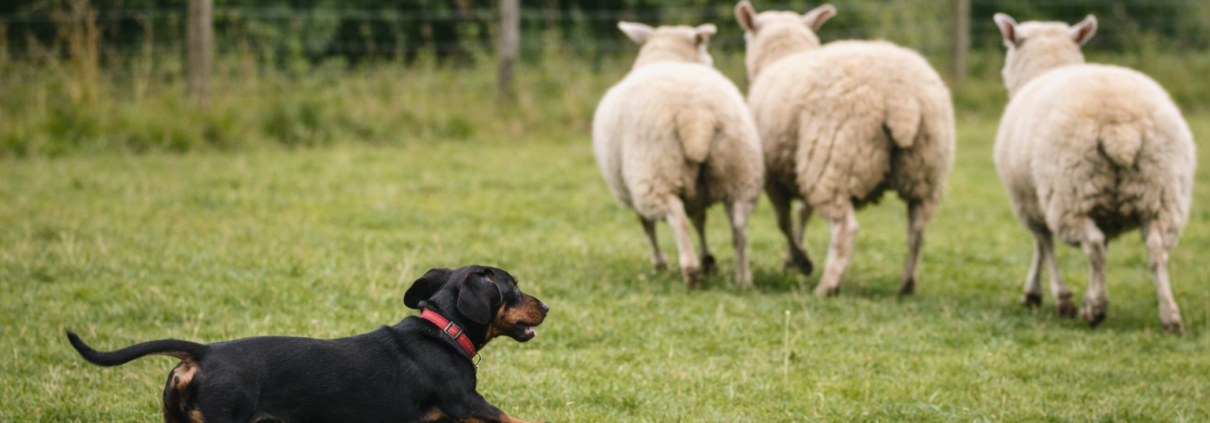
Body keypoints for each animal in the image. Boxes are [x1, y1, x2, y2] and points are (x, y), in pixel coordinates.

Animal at [592, 22, 765, 288]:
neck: (666, 57)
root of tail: (695, 113)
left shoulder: (631, 187)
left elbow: (647, 224)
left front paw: (660, 262)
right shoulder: (697, 191)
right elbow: (699, 219)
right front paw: (709, 259)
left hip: (654, 170)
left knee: (675, 216)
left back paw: (691, 271)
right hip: (741, 170)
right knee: (739, 225)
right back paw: (742, 278)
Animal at [734, 1, 955, 296]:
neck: (782, 56)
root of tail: (903, 100)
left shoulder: (773, 176)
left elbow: (784, 222)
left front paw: (800, 260)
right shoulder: (797, 164)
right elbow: (803, 212)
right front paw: (794, 260)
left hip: (832, 158)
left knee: (844, 229)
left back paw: (827, 286)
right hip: (926, 170)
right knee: (917, 229)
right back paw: (907, 285)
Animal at [993, 14, 1196, 333]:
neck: (1048, 68)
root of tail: (1120, 126)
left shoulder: (1028, 198)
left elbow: (1043, 244)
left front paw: (1050, 296)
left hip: (1070, 192)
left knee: (1093, 245)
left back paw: (1095, 311)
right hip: (1161, 192)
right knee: (1156, 249)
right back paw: (1170, 317)